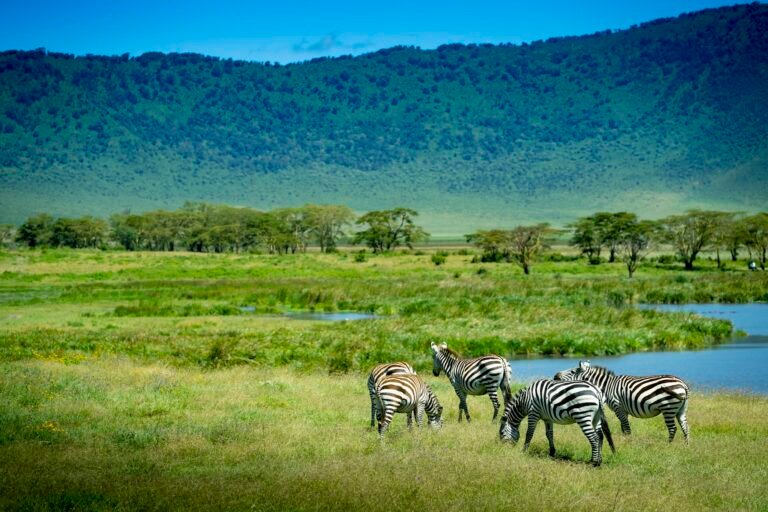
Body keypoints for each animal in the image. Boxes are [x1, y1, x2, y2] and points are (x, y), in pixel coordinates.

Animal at [554, 361, 690, 443]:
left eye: (572, 371)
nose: (555, 376)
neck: (607, 386)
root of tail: (683, 384)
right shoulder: (623, 409)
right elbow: (623, 427)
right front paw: (626, 440)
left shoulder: (617, 406)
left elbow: (626, 427)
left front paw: (628, 442)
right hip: (680, 409)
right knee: (685, 427)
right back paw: (686, 445)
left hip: (668, 408)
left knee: (673, 428)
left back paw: (669, 444)